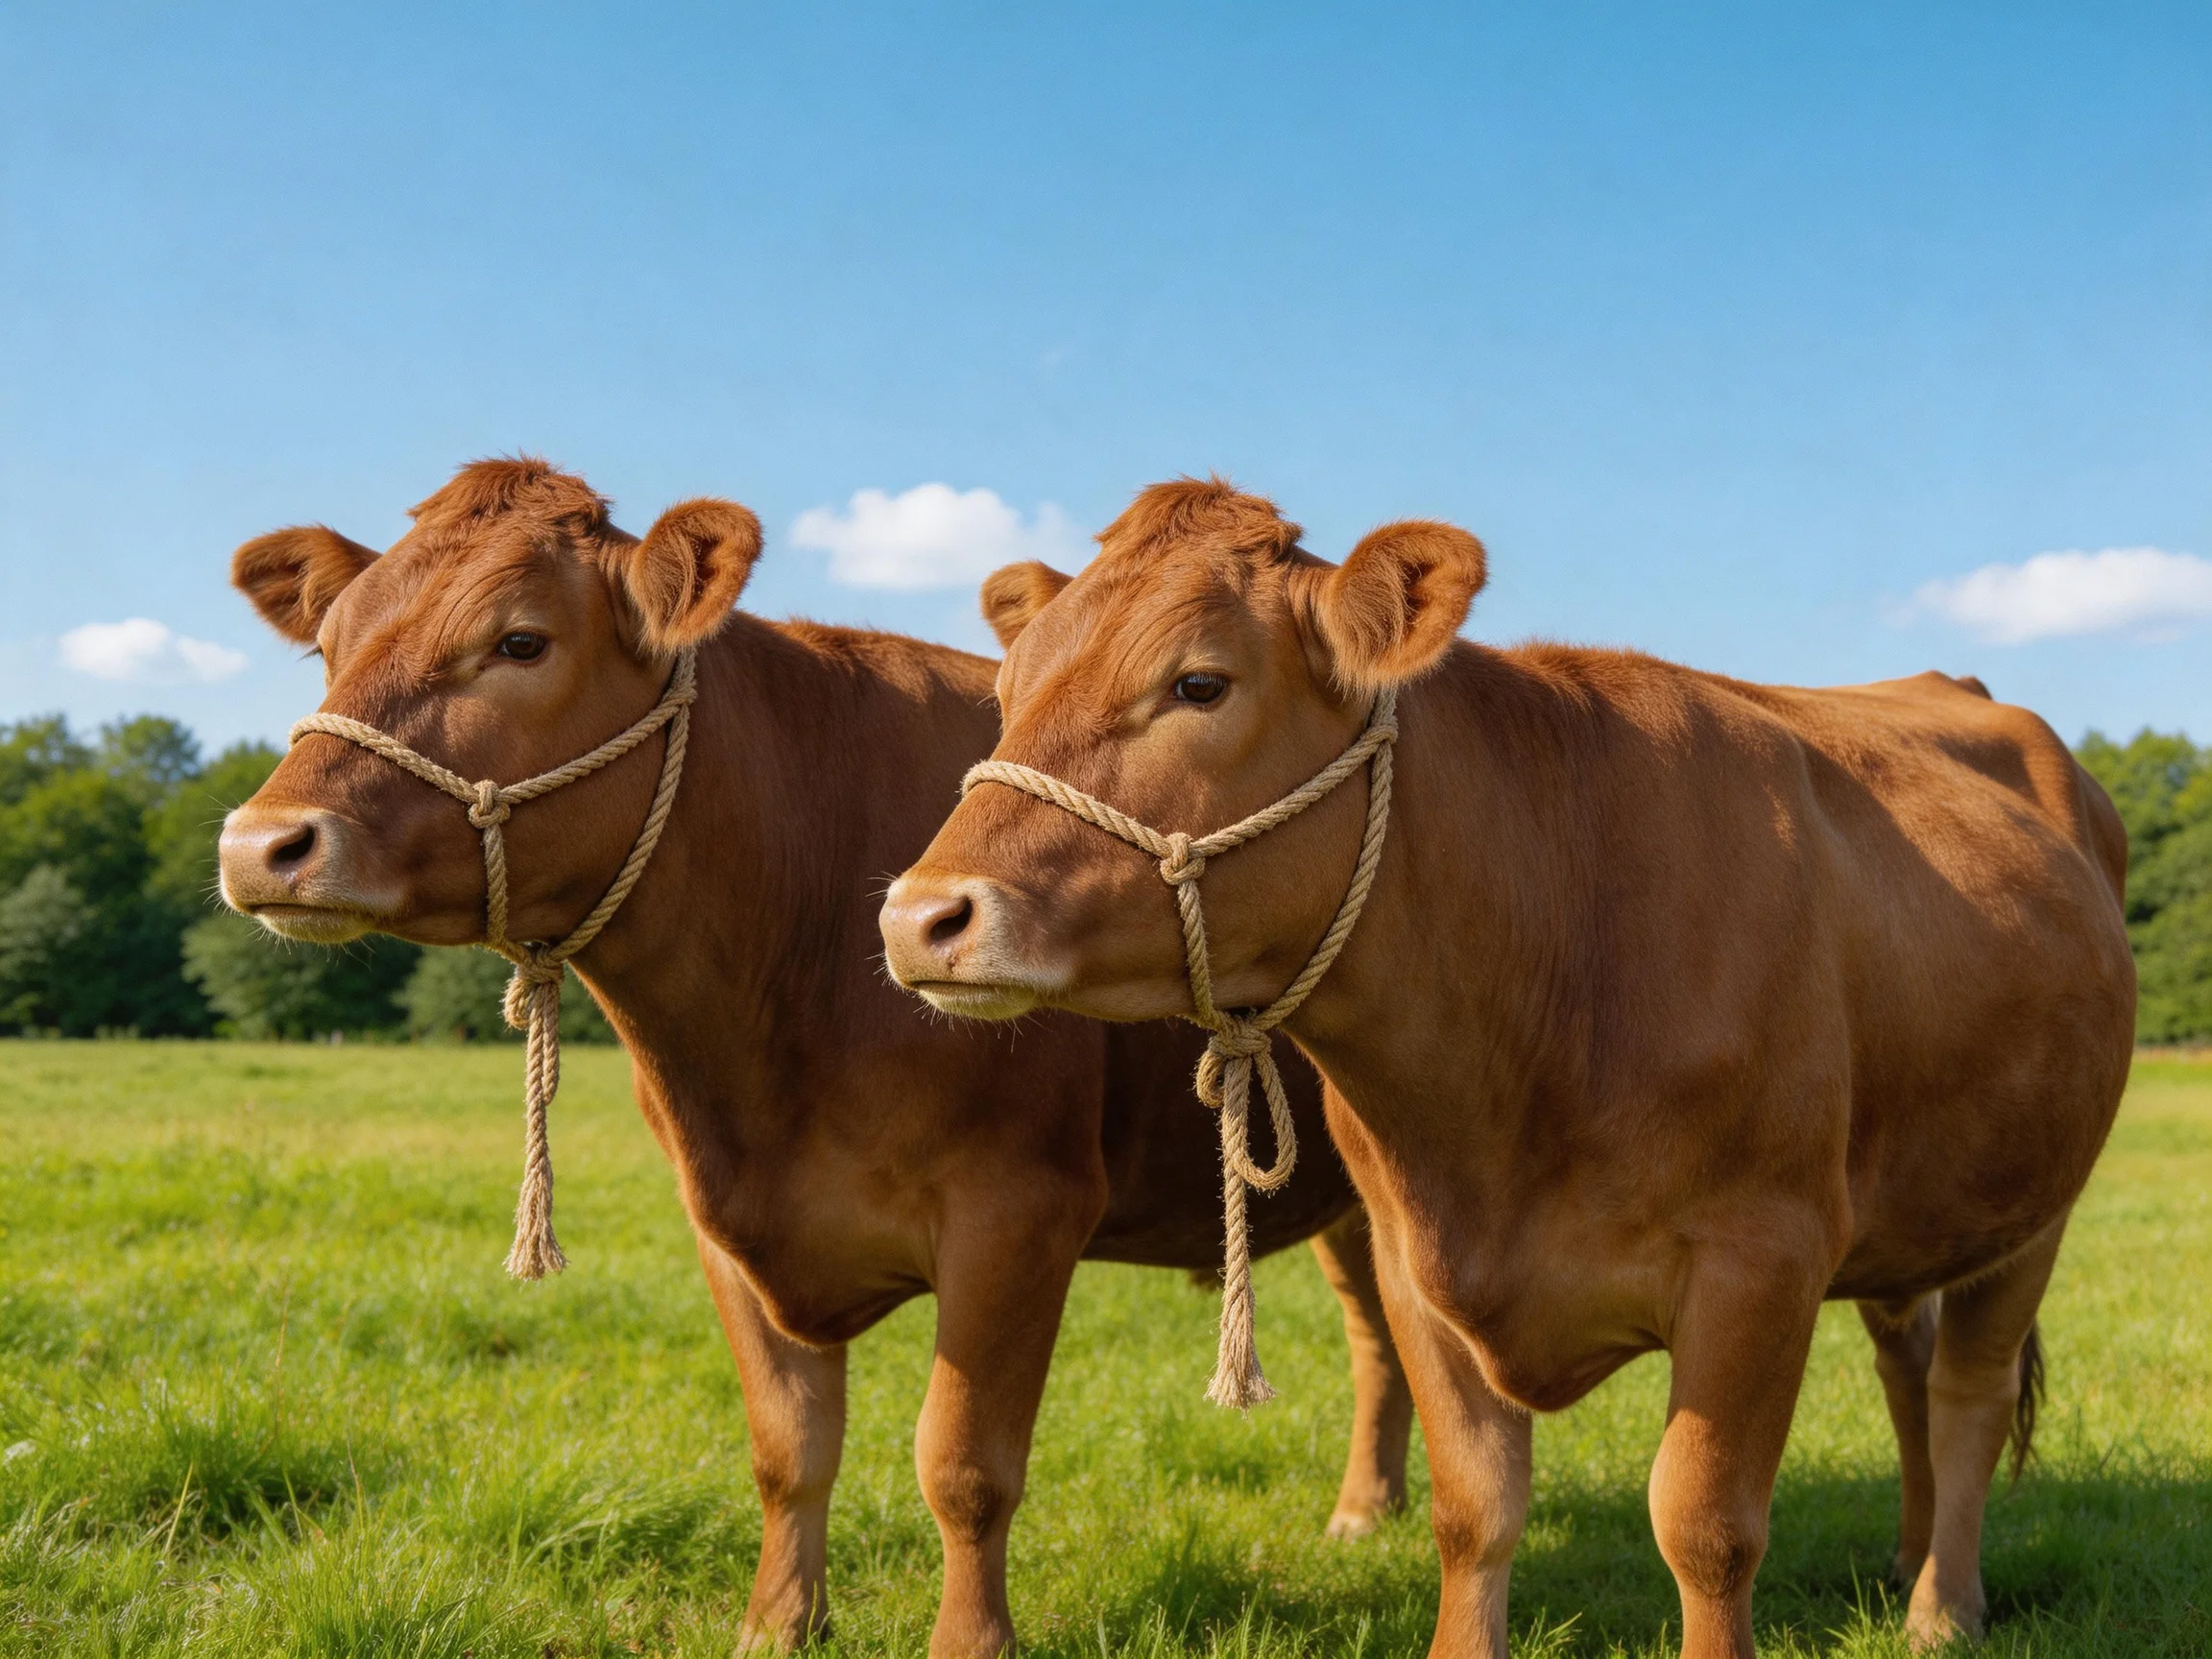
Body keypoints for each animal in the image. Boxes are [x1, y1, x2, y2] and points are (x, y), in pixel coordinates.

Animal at [214, 460, 1414, 1659]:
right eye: (329, 648)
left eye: (519, 641)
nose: (259, 843)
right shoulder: (725, 1222)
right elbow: (787, 1446)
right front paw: (777, 1625)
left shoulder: (1019, 1208)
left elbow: (963, 1466)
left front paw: (968, 1642)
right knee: (1381, 1332)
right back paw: (1369, 1509)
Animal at [878, 478, 2137, 1658]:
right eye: (1009, 692)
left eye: (1198, 684)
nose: (919, 916)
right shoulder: (1411, 1258)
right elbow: (1474, 1511)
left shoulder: (1763, 1256)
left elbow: (1707, 1528)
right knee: (1907, 1362)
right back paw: (1910, 1556)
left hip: (2036, 1209)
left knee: (1968, 1392)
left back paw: (1942, 1604)